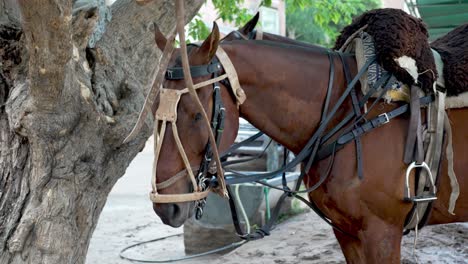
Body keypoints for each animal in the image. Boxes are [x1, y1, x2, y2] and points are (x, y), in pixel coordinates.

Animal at [152, 24, 466, 262]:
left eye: (196, 114)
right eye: (154, 107)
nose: (167, 206)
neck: (347, 113)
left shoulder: (382, 234)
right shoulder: (348, 234)